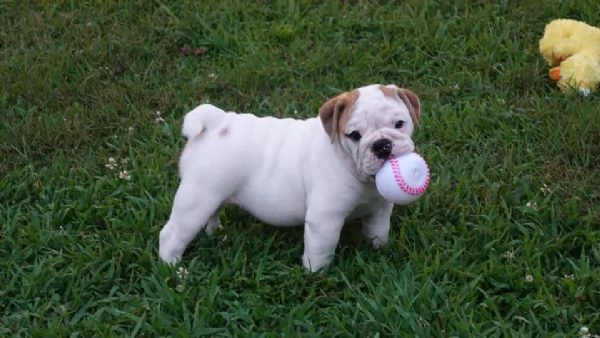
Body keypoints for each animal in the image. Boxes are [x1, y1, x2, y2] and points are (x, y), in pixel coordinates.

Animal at [159, 84, 422, 272]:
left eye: (400, 123)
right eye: (355, 135)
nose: (382, 145)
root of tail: (216, 123)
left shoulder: (379, 208)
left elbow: (378, 230)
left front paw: (380, 251)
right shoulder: (324, 221)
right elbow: (321, 251)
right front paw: (315, 276)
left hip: (213, 194)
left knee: (212, 213)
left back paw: (215, 231)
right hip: (196, 200)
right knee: (171, 234)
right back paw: (172, 267)